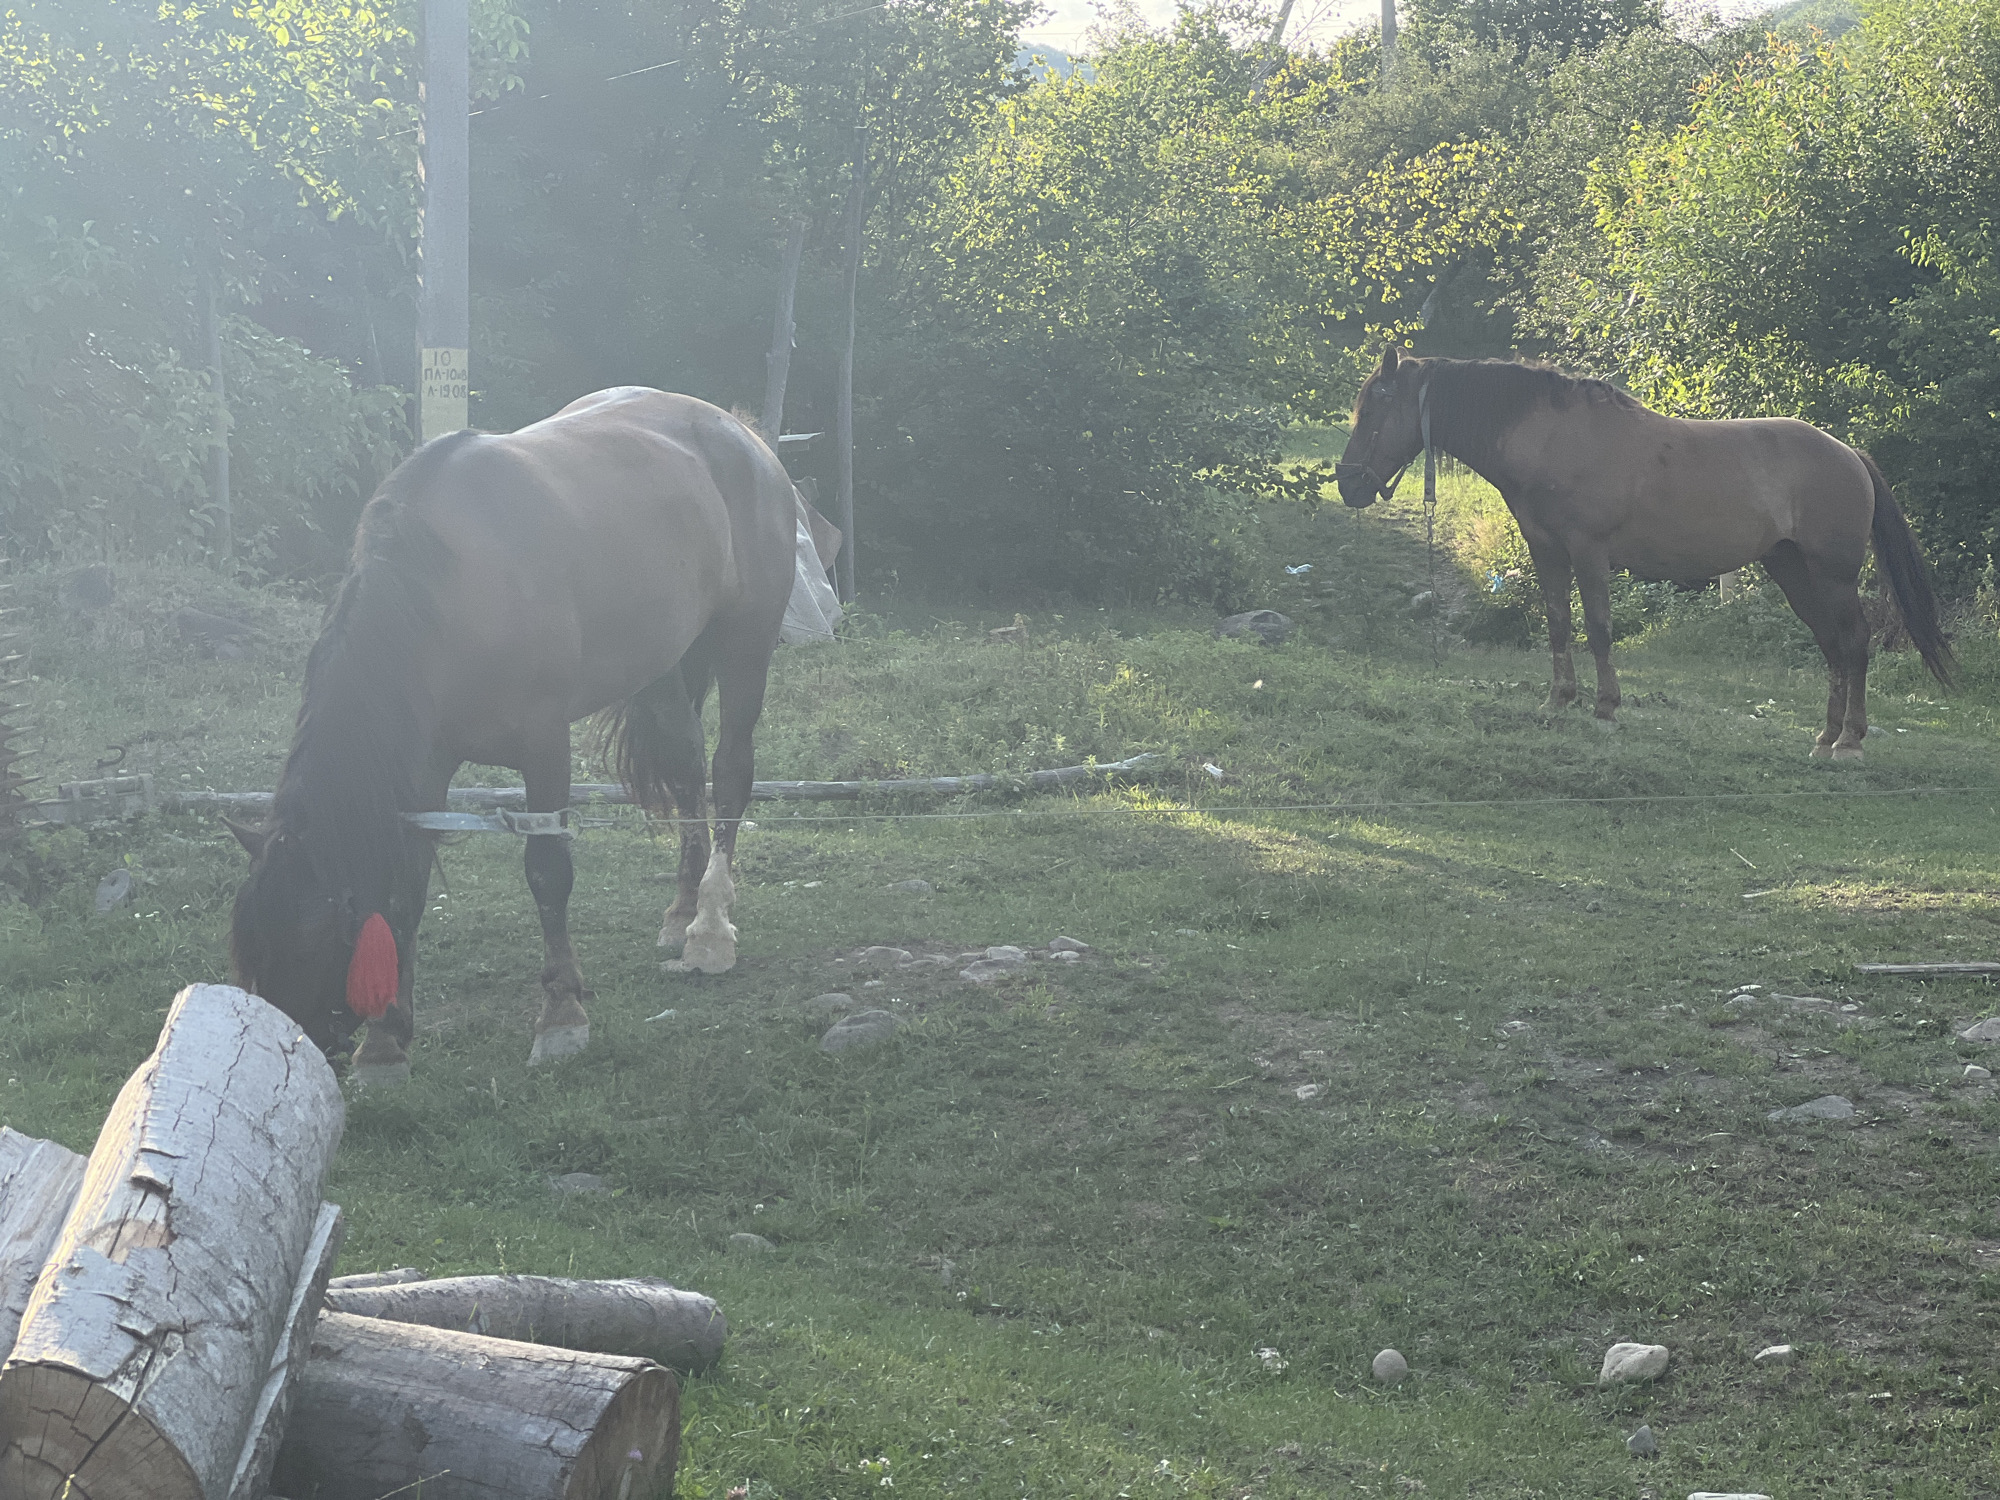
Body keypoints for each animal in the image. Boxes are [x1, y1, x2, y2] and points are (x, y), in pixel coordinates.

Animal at [228, 387, 796, 1079]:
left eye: (310, 941)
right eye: (250, 951)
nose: (289, 1054)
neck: (449, 596)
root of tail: (740, 434)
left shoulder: (545, 746)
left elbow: (548, 872)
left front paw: (561, 1014)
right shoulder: (425, 768)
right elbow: (407, 886)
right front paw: (387, 1042)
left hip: (747, 646)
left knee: (731, 771)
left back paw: (709, 929)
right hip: (664, 664)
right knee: (688, 770)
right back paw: (682, 911)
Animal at [1334, 348, 1954, 757]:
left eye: (1376, 409)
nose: (1348, 484)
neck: (1553, 439)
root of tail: (1850, 453)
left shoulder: (1588, 552)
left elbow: (1599, 627)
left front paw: (1606, 707)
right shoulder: (1548, 552)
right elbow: (1558, 623)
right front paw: (1558, 700)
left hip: (1832, 575)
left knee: (1854, 641)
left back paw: (1850, 738)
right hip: (1793, 573)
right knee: (1832, 646)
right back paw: (1825, 736)